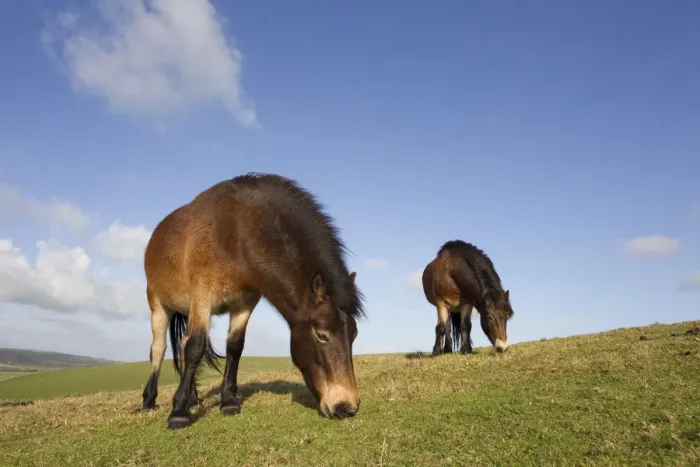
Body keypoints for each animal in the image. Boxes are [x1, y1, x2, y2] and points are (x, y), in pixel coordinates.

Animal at [140, 173, 366, 429]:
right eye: (321, 335)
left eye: (354, 335)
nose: (347, 407)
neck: (235, 233)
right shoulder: (202, 299)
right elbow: (195, 348)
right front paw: (178, 412)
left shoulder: (244, 304)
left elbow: (234, 347)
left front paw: (228, 401)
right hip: (159, 305)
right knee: (159, 349)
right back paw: (149, 401)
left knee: (182, 343)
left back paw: (193, 398)